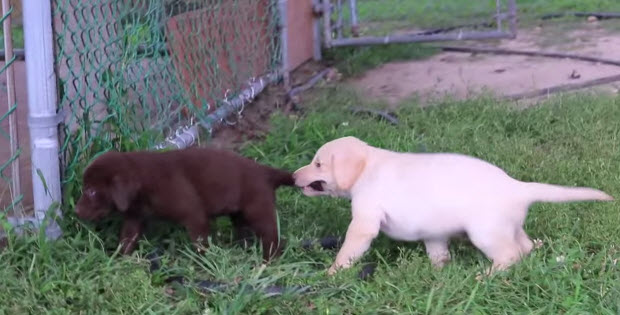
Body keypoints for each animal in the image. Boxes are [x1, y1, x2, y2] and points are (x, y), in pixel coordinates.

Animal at [74, 148, 294, 262]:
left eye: (91, 191)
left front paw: (204, 263)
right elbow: (127, 238)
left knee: (272, 236)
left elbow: (200, 243)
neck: (145, 183)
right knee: (243, 231)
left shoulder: (194, 214)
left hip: (258, 209)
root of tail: (266, 171)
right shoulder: (134, 216)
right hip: (239, 213)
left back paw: (268, 260)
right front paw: (119, 260)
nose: (76, 211)